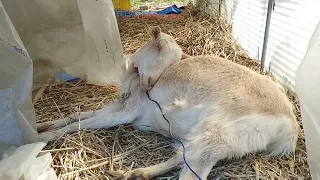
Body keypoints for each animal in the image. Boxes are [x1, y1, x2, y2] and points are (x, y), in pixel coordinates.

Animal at [38, 26, 300, 179]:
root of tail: (290, 126)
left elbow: (83, 124)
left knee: (192, 171)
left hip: (220, 131)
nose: (149, 85)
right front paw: (44, 125)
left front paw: (43, 137)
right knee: (183, 156)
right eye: (158, 47)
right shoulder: (118, 105)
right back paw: (134, 174)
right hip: (217, 139)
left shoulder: (125, 110)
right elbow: (80, 115)